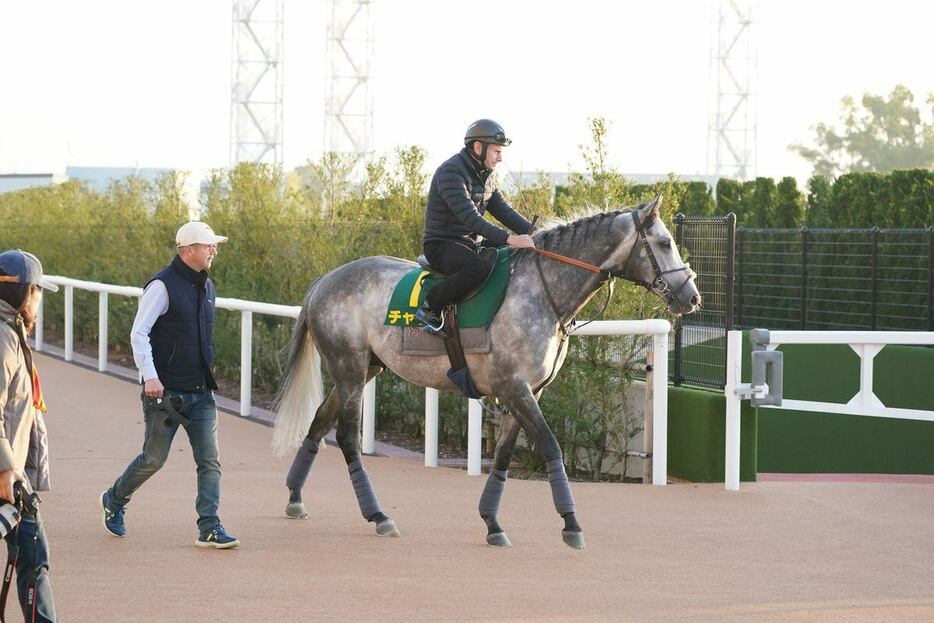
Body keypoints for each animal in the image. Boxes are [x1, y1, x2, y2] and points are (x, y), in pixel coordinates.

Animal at [274, 196, 700, 552]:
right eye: (664, 243)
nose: (692, 297)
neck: (541, 292)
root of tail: (324, 281)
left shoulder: (528, 392)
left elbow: (504, 456)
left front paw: (493, 523)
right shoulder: (515, 388)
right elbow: (550, 446)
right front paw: (571, 523)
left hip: (364, 369)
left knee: (318, 423)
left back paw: (294, 497)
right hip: (349, 367)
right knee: (346, 437)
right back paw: (378, 515)